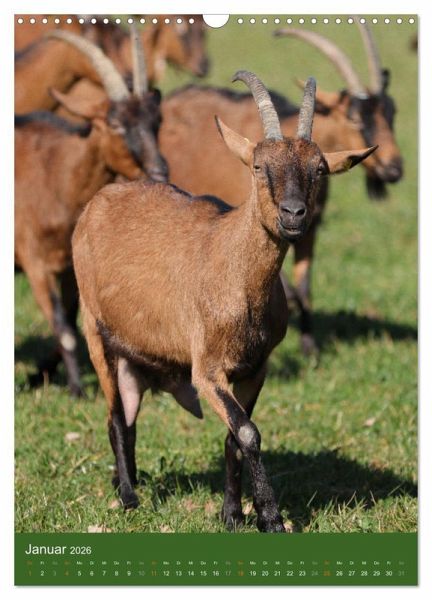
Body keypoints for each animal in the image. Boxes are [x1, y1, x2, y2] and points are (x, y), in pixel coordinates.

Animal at [15, 28, 168, 397]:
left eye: (157, 121)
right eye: (114, 123)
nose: (160, 171)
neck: (53, 175)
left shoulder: (70, 268)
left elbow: (72, 323)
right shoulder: (35, 263)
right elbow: (63, 327)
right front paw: (75, 390)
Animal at [72, 71, 376, 531]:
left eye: (319, 168)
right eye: (258, 165)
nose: (294, 215)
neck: (235, 272)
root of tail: (97, 202)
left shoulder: (255, 367)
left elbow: (235, 436)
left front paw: (232, 514)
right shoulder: (207, 370)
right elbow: (249, 432)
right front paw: (271, 518)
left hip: (132, 354)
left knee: (128, 411)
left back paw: (127, 483)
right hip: (94, 330)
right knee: (115, 417)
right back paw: (128, 496)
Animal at [159, 20, 403, 355]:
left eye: (392, 112)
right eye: (354, 117)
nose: (394, 169)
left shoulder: (310, 229)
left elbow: (305, 287)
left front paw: (310, 347)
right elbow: (290, 290)